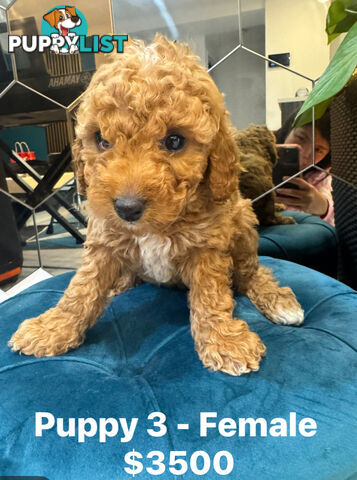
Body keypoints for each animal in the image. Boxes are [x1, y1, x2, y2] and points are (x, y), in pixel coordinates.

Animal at [9, 35, 304, 376]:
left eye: (175, 141)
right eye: (102, 140)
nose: (126, 208)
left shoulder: (207, 246)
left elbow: (211, 295)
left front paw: (224, 341)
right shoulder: (104, 239)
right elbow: (82, 288)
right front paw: (54, 327)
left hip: (242, 221)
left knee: (251, 272)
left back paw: (277, 299)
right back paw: (119, 283)